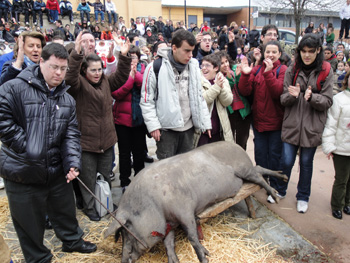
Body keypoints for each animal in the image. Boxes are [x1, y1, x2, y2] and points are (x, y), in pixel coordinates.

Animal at [103, 142, 288, 263]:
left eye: (128, 229)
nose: (124, 259)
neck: (151, 203)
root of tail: (236, 145)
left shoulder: (184, 210)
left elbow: (192, 236)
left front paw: (205, 257)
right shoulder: (168, 223)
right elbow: (169, 243)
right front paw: (175, 261)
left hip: (244, 168)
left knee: (259, 177)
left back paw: (277, 195)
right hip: (246, 172)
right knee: (259, 169)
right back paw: (283, 176)